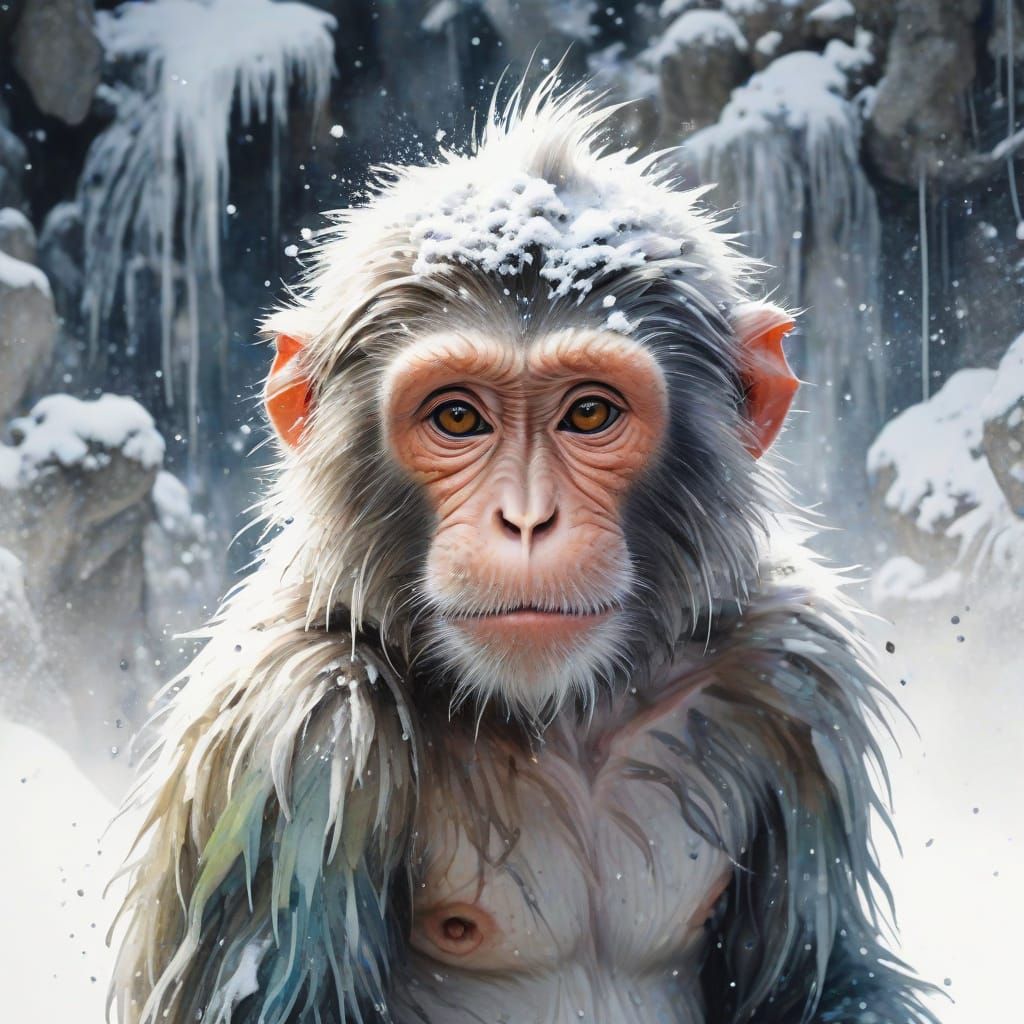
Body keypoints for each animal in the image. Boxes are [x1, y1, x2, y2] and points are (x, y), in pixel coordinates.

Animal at [109, 82, 938, 1024]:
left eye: (589, 413)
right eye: (457, 417)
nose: (528, 519)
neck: (560, 715)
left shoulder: (793, 677)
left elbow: (820, 977)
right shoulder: (291, 733)